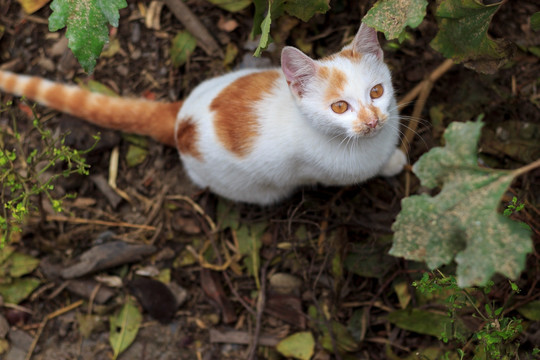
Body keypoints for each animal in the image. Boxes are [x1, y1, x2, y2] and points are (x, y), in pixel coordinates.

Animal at [0, 22, 404, 205]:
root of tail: (181, 119)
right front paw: (392, 163)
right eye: (340, 107)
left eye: (376, 91)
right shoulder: (324, 171)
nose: (372, 121)